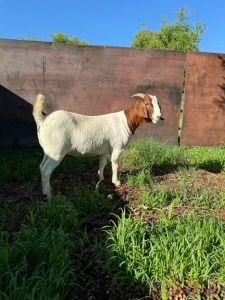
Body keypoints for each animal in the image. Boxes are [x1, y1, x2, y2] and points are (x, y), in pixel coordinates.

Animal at [32, 92, 163, 198]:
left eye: (158, 104)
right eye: (147, 104)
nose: (158, 117)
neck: (126, 121)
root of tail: (43, 121)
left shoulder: (104, 150)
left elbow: (102, 163)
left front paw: (101, 180)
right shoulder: (118, 148)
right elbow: (115, 164)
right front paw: (116, 182)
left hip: (49, 151)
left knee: (41, 166)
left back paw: (49, 189)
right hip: (57, 151)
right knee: (46, 170)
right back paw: (48, 195)